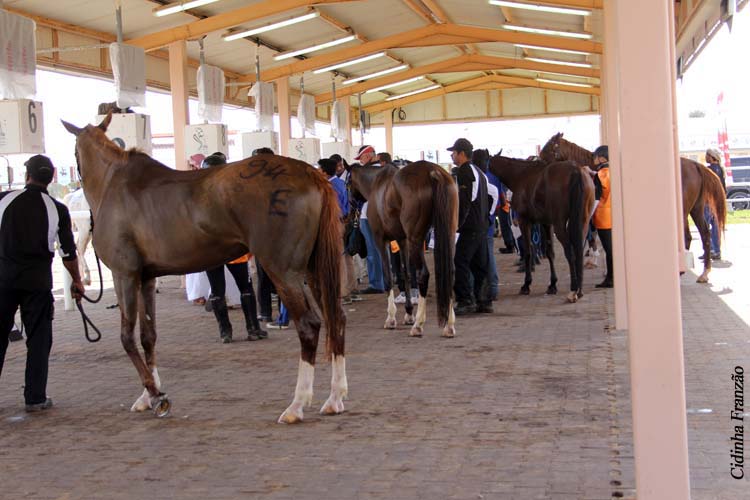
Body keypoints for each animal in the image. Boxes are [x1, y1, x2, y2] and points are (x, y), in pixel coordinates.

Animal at [63, 114, 348, 422]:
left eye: (75, 154)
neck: (113, 184)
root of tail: (311, 174)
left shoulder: (124, 275)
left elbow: (127, 337)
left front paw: (157, 395)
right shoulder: (146, 278)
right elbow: (148, 336)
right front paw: (147, 396)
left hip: (283, 270)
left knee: (309, 325)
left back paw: (296, 405)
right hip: (313, 270)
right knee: (336, 318)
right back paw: (334, 398)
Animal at [352, 162, 462, 338]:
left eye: (347, 183)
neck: (377, 183)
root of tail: (433, 172)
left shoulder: (380, 240)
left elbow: (388, 276)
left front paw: (391, 318)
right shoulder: (402, 240)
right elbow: (405, 274)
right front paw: (409, 313)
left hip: (415, 239)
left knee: (423, 274)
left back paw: (418, 324)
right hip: (448, 233)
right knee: (450, 272)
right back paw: (449, 325)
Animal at [488, 153, 600, 300]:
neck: (520, 175)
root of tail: (576, 170)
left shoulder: (524, 221)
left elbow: (528, 251)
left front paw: (526, 285)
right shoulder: (546, 224)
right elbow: (549, 252)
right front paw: (552, 285)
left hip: (560, 225)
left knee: (570, 252)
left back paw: (573, 289)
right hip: (583, 222)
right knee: (578, 250)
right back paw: (579, 289)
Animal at [540, 132, 728, 282]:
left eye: (548, 148)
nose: (539, 161)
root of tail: (696, 165)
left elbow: (594, 236)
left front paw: (596, 261)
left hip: (683, 211)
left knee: (689, 236)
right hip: (696, 209)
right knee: (704, 234)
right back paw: (703, 273)